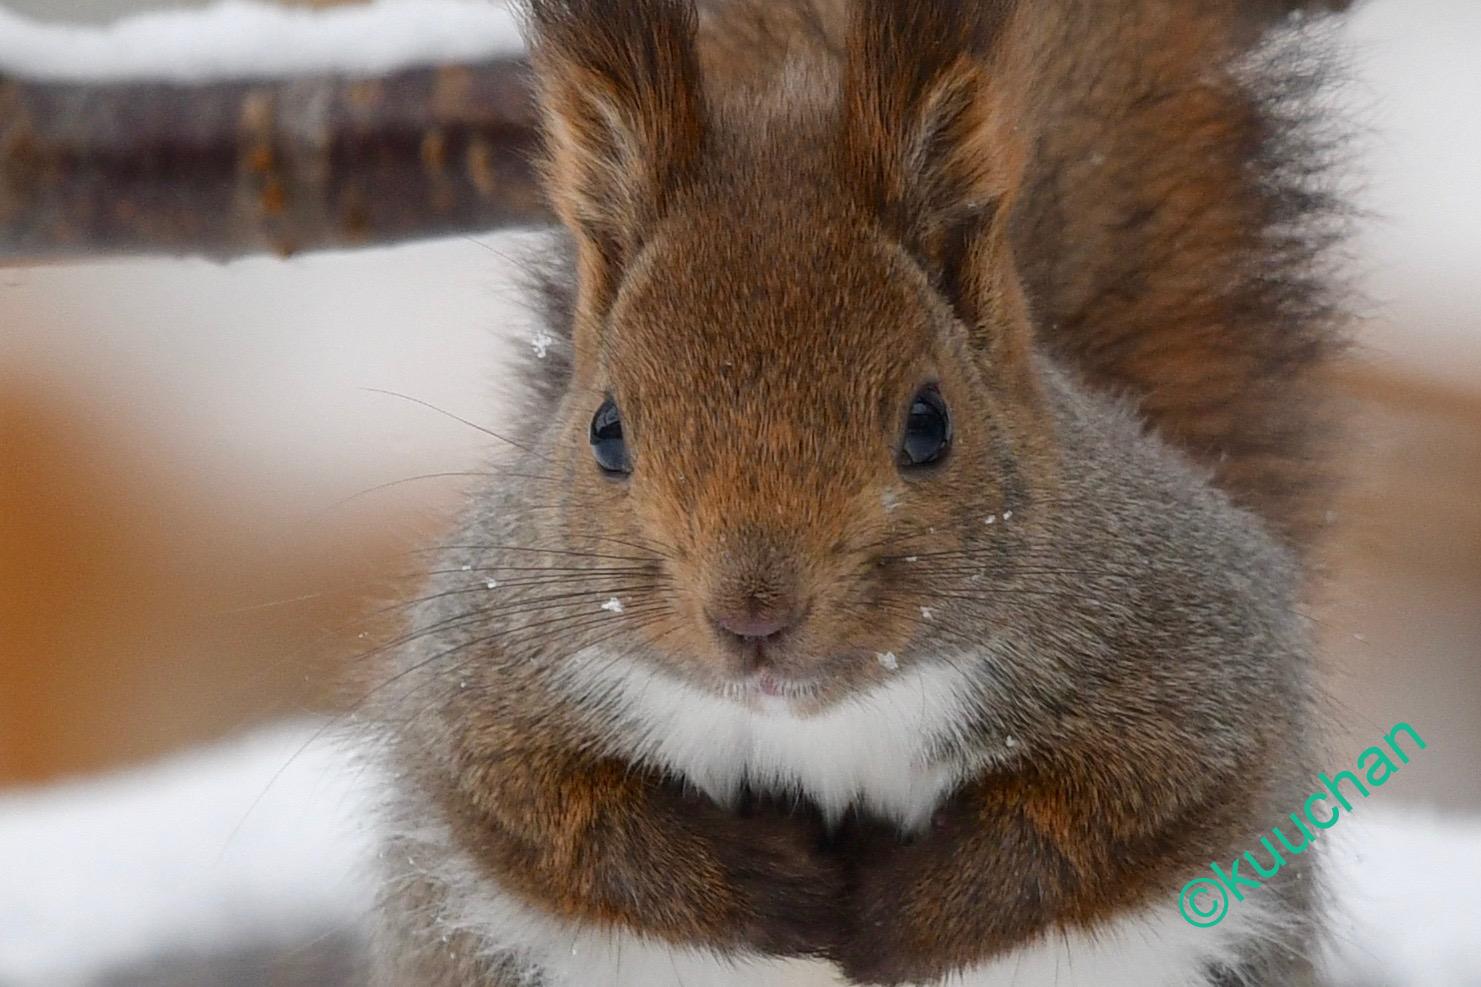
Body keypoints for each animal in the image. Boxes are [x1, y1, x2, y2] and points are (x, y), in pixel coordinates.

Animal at [365, 0, 1348, 984]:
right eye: (605, 431)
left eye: (928, 423)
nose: (752, 615)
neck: (821, 721)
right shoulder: (485, 679)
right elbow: (557, 817)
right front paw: (774, 889)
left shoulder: (1194, 664)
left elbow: (1088, 824)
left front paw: (891, 912)